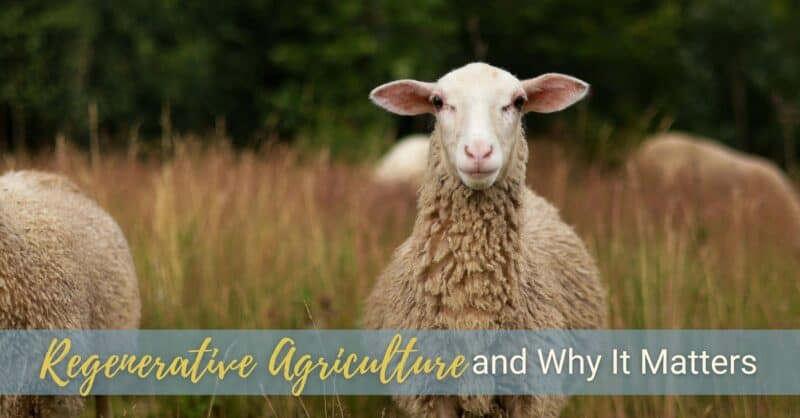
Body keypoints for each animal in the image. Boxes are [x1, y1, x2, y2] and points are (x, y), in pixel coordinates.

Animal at [363, 63, 606, 417]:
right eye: (438, 101)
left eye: (518, 101)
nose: (478, 152)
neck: (472, 303)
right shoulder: (430, 395)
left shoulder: (531, 394)